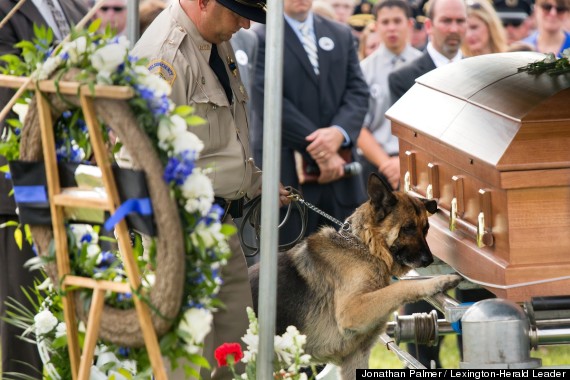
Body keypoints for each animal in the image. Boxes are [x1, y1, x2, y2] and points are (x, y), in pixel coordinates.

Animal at [248, 174, 462, 378]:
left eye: (426, 229)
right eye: (407, 228)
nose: (429, 260)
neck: (365, 246)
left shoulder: (355, 357)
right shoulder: (352, 310)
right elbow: (400, 287)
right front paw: (439, 281)